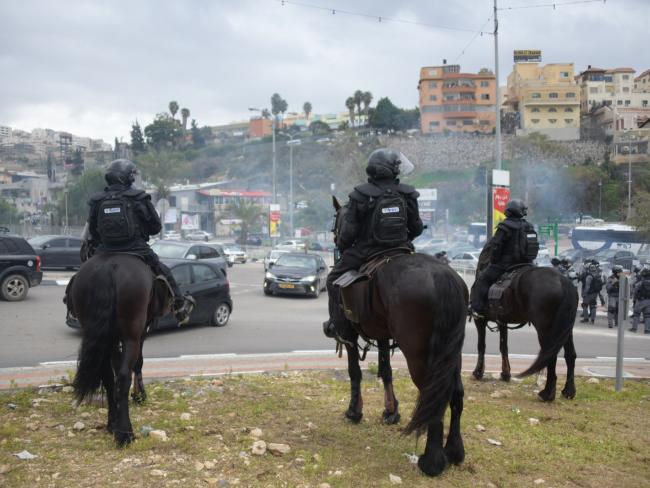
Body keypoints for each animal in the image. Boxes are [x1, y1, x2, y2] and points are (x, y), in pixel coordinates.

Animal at [66, 252, 170, 446]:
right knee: (122, 377)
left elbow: (114, 366)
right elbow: (138, 363)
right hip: (131, 335)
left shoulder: (112, 339)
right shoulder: (142, 331)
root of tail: (108, 267)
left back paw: (112, 423)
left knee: (108, 376)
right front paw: (139, 395)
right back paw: (124, 432)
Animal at [330, 196, 466, 474]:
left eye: (337, 223)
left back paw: (431, 461)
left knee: (432, 396)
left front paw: (354, 411)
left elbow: (354, 372)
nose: (338, 241)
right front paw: (391, 411)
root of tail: (443, 276)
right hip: (451, 353)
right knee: (454, 393)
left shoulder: (349, 334)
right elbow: (386, 370)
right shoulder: (383, 335)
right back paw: (454, 451)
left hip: (418, 354)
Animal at [468, 248, 580, 400]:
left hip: (545, 329)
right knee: (570, 355)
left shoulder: (479, 320)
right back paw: (568, 391)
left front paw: (478, 372)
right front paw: (505, 374)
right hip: (565, 329)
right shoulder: (502, 322)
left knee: (550, 355)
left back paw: (547, 394)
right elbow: (504, 346)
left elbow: (481, 346)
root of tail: (563, 282)